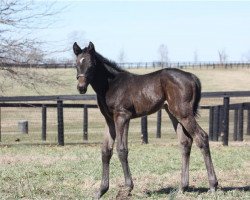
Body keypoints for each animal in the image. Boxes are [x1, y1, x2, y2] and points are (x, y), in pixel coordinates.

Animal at [72, 41, 217, 198]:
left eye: (91, 65)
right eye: (76, 64)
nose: (81, 87)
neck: (110, 84)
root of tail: (192, 76)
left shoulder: (122, 116)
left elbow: (121, 149)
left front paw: (127, 188)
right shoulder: (109, 120)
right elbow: (106, 151)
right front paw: (101, 190)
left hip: (184, 113)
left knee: (201, 137)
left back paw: (213, 186)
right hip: (173, 113)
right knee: (185, 142)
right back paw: (182, 187)